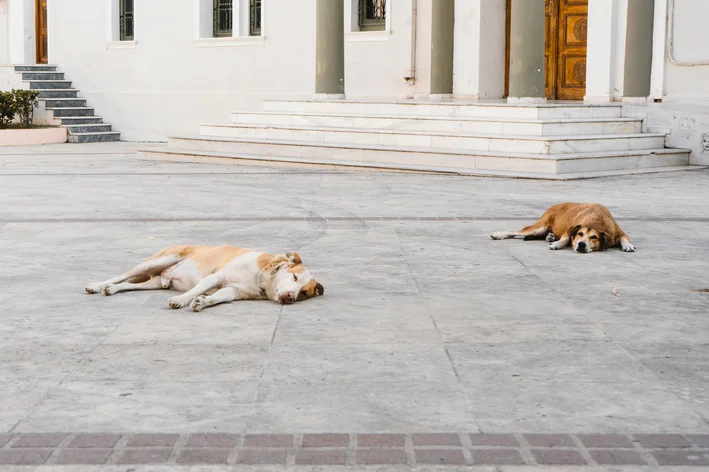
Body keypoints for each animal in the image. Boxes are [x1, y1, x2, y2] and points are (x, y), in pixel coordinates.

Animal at [85, 245, 324, 312]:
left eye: (304, 293)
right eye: (294, 276)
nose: (290, 297)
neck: (263, 278)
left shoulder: (233, 291)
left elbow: (219, 297)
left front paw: (203, 302)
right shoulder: (216, 277)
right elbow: (196, 289)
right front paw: (182, 300)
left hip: (154, 282)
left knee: (129, 284)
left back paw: (112, 290)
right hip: (157, 260)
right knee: (122, 276)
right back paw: (97, 286)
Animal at [490, 203, 632, 254]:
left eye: (594, 237)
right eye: (580, 234)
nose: (581, 244)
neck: (596, 220)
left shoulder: (618, 232)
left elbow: (625, 237)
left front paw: (628, 245)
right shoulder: (569, 230)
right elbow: (565, 238)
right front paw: (557, 244)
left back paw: (550, 236)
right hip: (540, 226)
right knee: (515, 231)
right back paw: (498, 234)